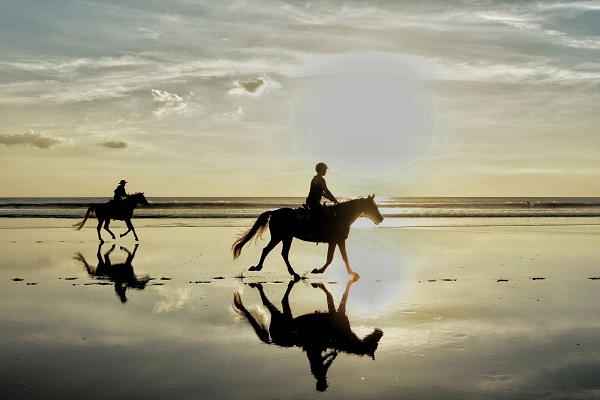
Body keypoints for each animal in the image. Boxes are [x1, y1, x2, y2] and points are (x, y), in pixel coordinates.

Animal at [232, 195, 382, 280]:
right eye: (373, 206)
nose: (381, 218)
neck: (341, 215)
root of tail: (274, 212)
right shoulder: (337, 240)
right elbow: (337, 258)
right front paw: (319, 270)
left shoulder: (336, 241)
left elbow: (335, 258)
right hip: (280, 237)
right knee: (269, 250)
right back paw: (260, 268)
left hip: (286, 237)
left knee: (281, 253)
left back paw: (291, 273)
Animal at [232, 278, 382, 390]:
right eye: (375, 343)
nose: (380, 332)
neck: (346, 340)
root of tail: (273, 341)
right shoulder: (337, 313)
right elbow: (335, 296)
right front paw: (320, 284)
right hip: (281, 318)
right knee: (269, 302)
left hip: (285, 317)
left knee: (278, 303)